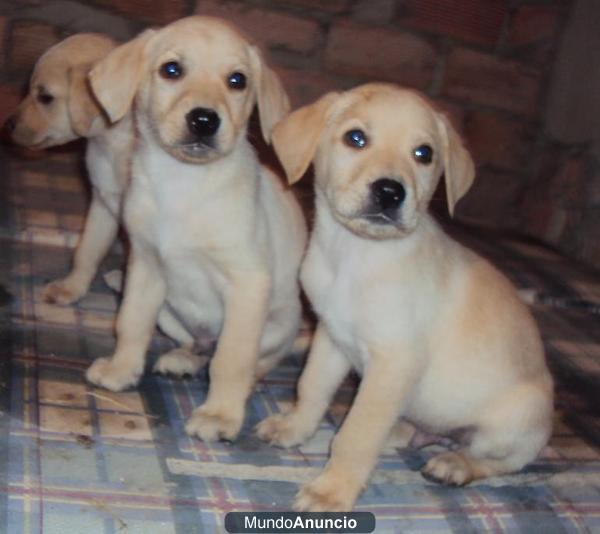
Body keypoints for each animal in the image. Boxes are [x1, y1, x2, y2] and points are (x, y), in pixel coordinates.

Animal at [5, 34, 133, 306]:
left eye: (45, 97)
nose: (7, 125)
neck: (113, 141)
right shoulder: (103, 203)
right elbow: (87, 251)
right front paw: (71, 288)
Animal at [84, 16, 308, 444]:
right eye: (172, 70)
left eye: (237, 80)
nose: (204, 120)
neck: (183, 182)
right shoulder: (146, 265)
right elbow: (130, 323)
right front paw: (121, 370)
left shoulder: (247, 282)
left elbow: (231, 360)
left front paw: (220, 415)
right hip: (169, 312)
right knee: (197, 345)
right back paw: (182, 359)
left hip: (277, 325)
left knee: (256, 361)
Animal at [258, 85, 552, 516]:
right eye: (356, 138)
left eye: (424, 153)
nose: (390, 192)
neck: (356, 254)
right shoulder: (331, 337)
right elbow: (312, 388)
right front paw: (294, 427)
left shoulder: (394, 362)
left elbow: (358, 434)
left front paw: (332, 490)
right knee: (414, 430)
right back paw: (402, 432)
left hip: (515, 421)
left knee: (498, 461)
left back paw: (455, 464)